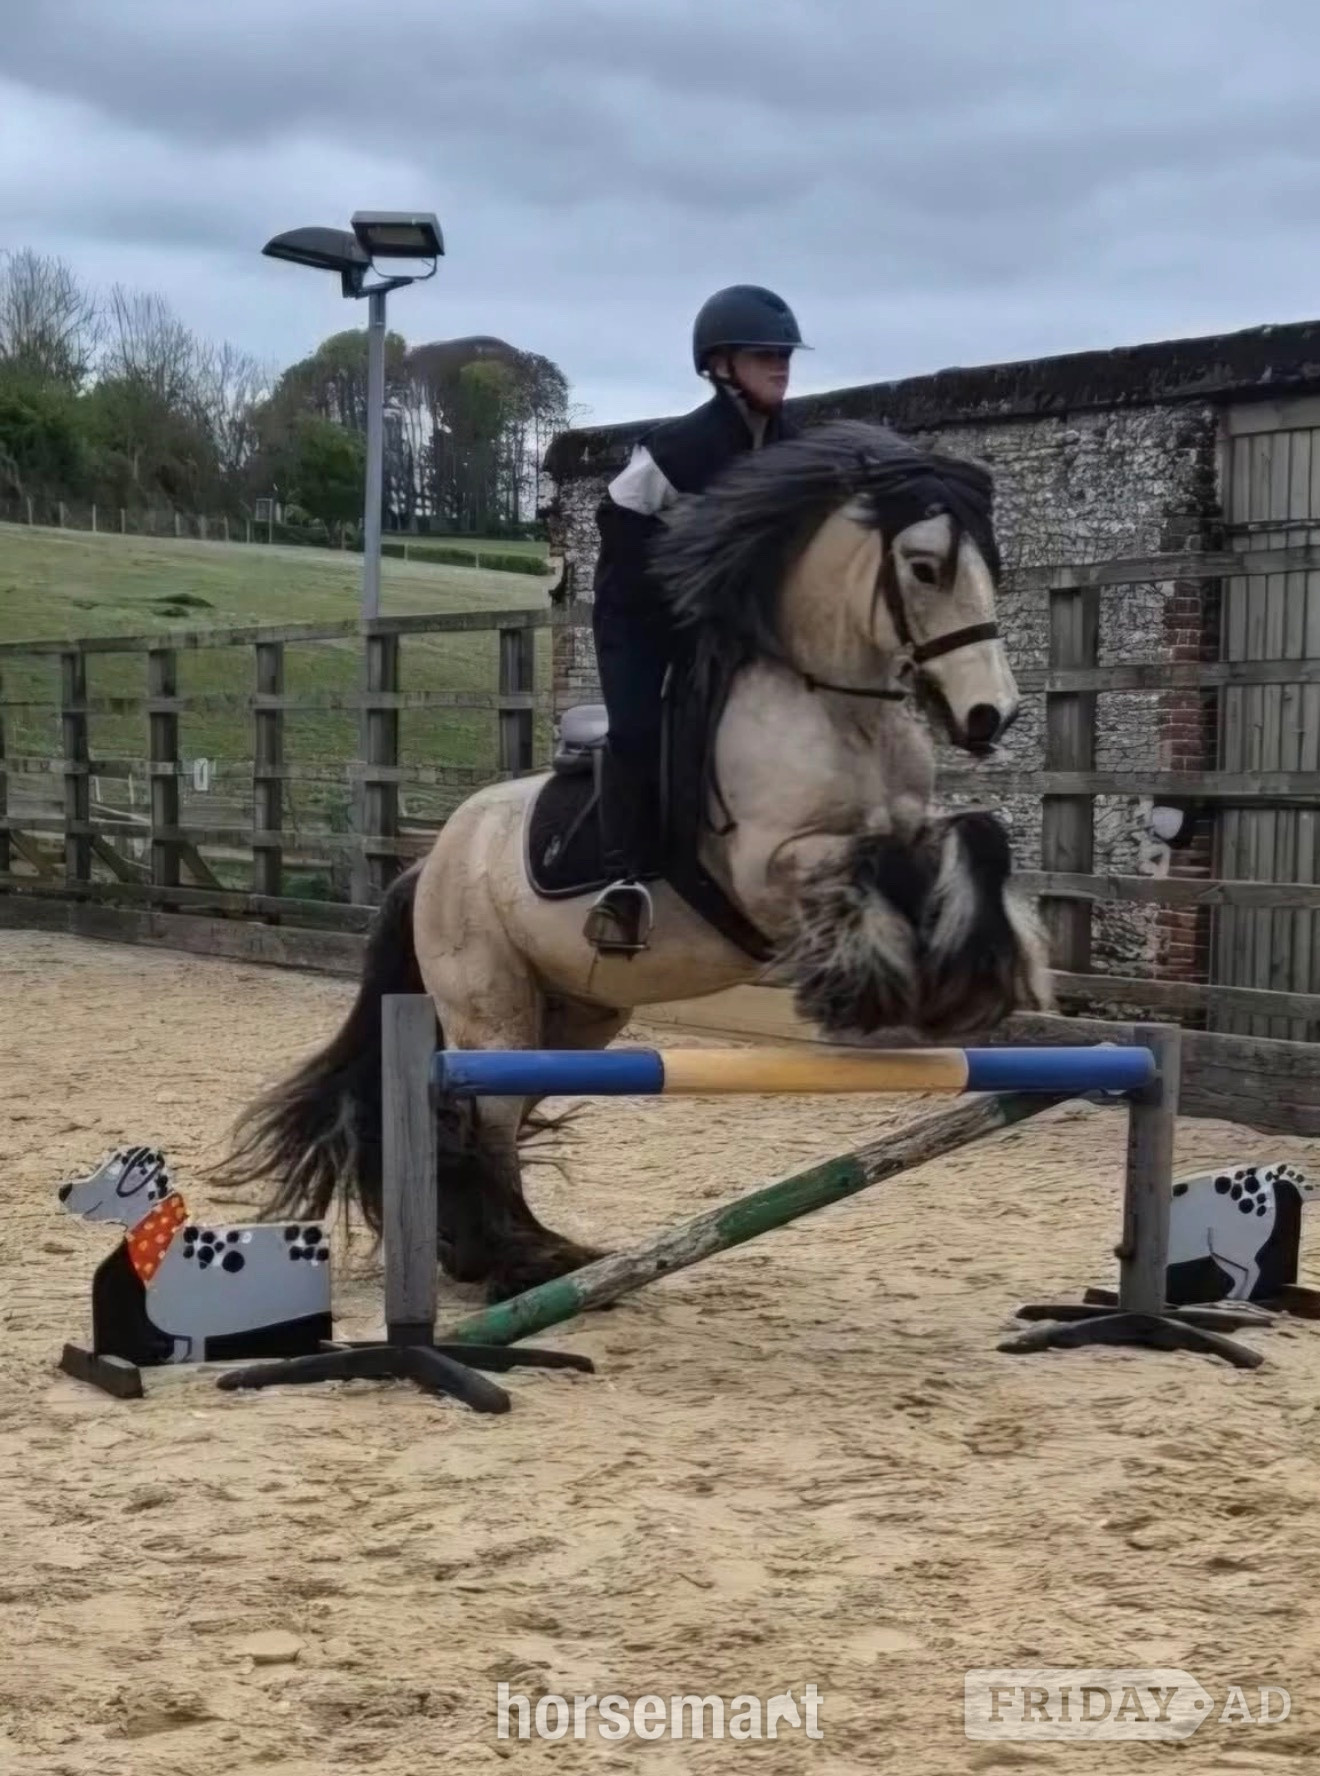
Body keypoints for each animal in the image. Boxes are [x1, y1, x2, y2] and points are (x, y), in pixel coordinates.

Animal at [217, 421, 1053, 1301]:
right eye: (925, 568)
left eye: (991, 566)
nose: (990, 715)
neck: (831, 705)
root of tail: (429, 863)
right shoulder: (770, 868)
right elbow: (862, 873)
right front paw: (874, 991)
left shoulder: (908, 823)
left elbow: (977, 837)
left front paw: (974, 978)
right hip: (491, 1008)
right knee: (482, 1122)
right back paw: (512, 1262)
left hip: (573, 1020)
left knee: (503, 1114)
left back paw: (518, 1248)